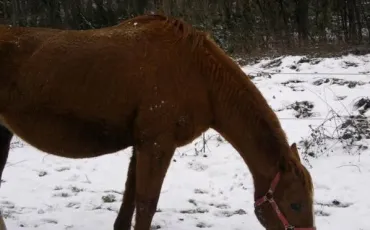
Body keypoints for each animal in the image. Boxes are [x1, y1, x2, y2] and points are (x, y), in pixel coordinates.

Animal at [0, 14, 316, 230]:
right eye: (295, 203)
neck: (198, 75)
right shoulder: (157, 144)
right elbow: (146, 204)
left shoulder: (141, 145)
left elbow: (130, 200)